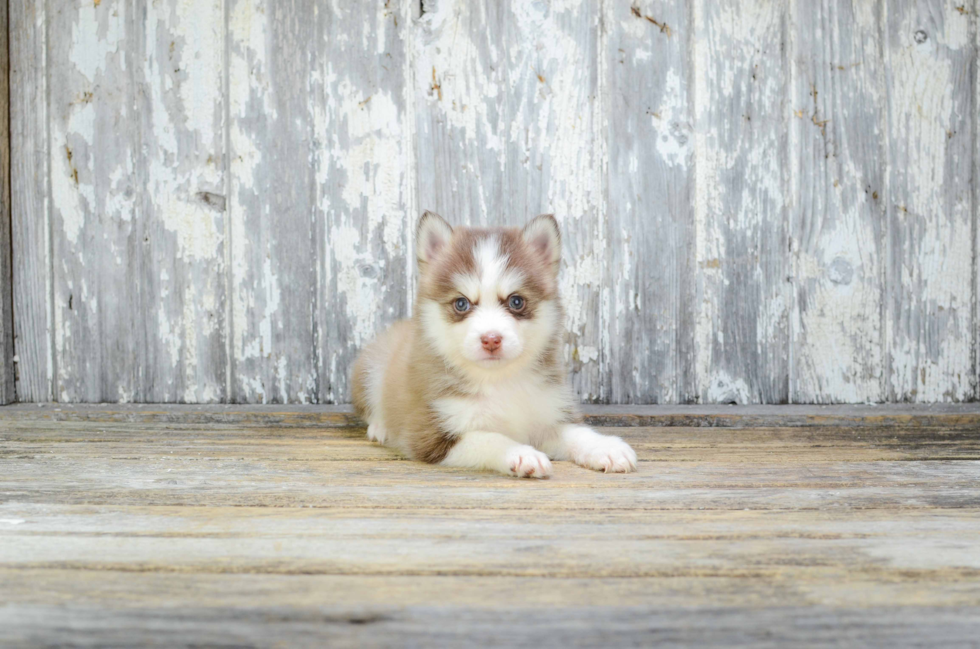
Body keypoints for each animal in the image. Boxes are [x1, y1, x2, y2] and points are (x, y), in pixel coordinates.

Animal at [350, 213, 636, 476]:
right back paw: (380, 427)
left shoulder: (545, 416)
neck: (500, 381)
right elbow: (489, 438)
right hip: (373, 366)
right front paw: (521, 454)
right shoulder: (431, 434)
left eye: (516, 301)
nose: (491, 339)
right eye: (461, 303)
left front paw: (605, 447)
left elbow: (575, 433)